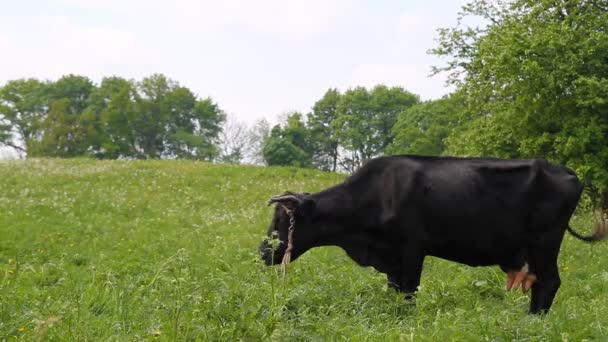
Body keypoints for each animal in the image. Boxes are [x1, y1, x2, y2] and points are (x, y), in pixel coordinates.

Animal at [258, 156, 608, 314]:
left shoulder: (412, 249)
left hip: (545, 242)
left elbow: (409, 290)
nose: (263, 250)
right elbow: (395, 289)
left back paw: (533, 319)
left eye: (281, 220)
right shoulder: (392, 258)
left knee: (549, 283)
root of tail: (567, 172)